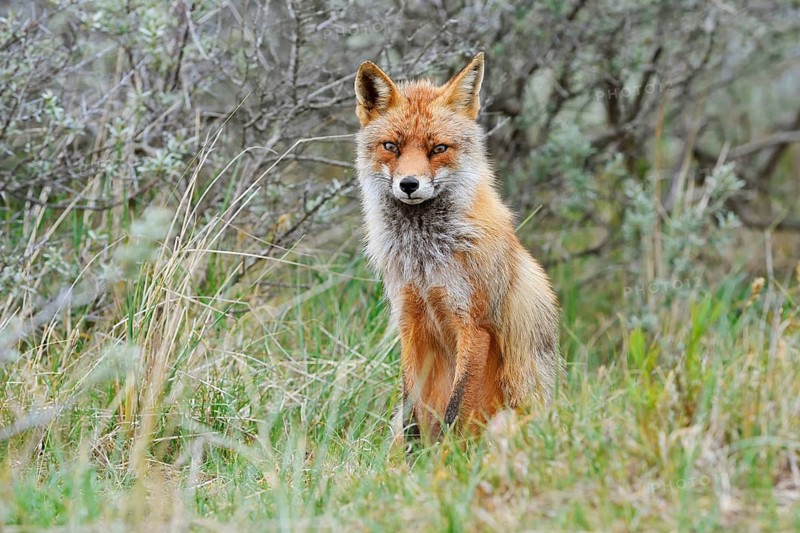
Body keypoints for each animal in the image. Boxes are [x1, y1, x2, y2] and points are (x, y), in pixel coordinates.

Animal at [354, 52, 561, 445]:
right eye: (391, 146)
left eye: (438, 149)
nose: (408, 184)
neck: (425, 258)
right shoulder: (409, 320)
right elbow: (412, 410)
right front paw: (415, 458)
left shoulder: (474, 326)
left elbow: (455, 411)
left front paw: (444, 457)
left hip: (503, 424)